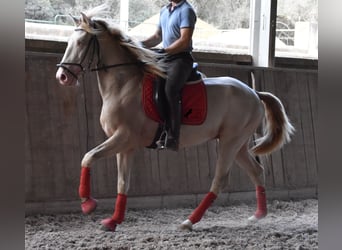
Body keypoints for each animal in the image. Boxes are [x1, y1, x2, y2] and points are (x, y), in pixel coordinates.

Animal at [55, 5, 294, 232]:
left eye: (82, 42)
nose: (62, 76)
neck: (124, 86)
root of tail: (254, 93)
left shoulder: (123, 137)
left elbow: (88, 157)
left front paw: (88, 204)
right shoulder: (126, 145)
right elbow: (122, 183)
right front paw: (113, 221)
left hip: (230, 142)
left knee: (220, 180)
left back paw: (189, 222)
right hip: (239, 144)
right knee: (257, 171)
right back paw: (258, 215)